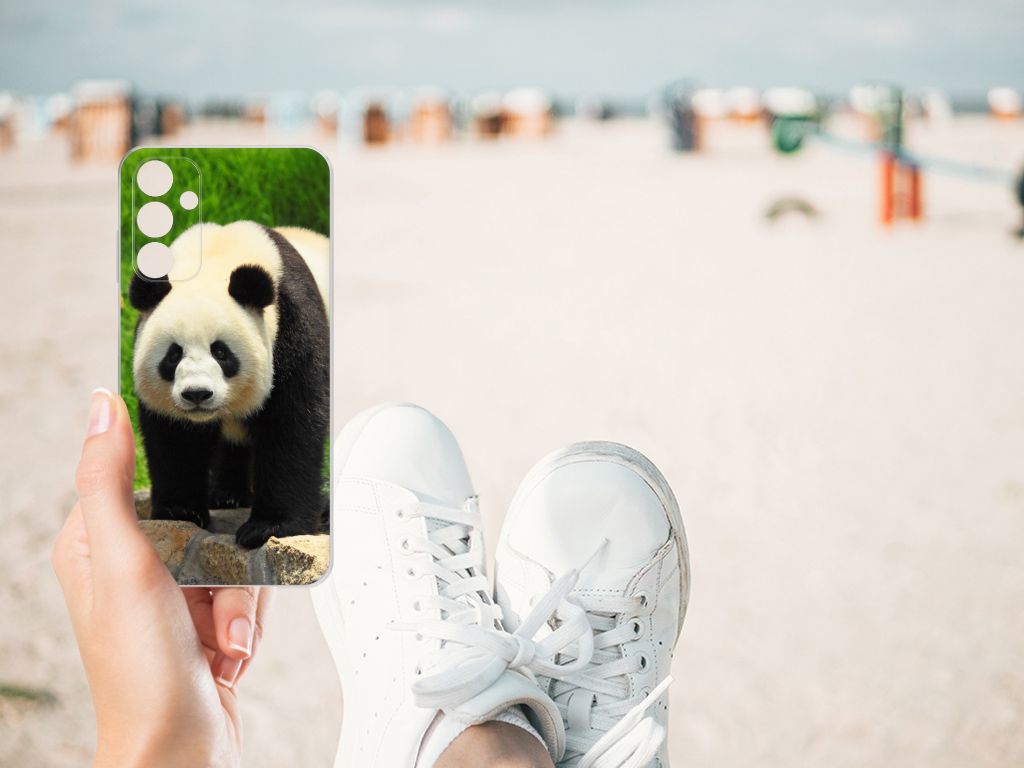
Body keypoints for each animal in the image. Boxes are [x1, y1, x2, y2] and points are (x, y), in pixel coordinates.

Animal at [129, 221, 329, 549]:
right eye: (173, 355)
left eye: (221, 352)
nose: (197, 394)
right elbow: (175, 437)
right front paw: (180, 511)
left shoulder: (293, 326)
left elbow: (292, 424)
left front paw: (269, 527)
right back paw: (227, 495)